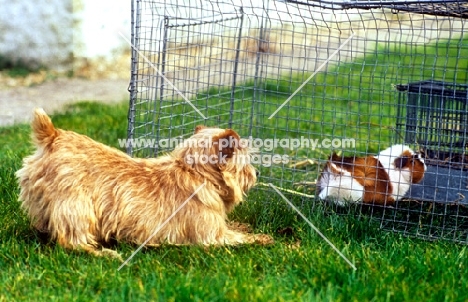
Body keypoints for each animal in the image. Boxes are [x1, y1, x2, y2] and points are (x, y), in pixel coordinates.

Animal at [16, 108, 272, 258]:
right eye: (246, 164)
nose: (257, 173)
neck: (196, 174)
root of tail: (53, 135)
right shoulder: (211, 236)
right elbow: (238, 238)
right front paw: (263, 239)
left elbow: (237, 228)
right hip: (78, 207)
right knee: (70, 241)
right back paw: (103, 253)